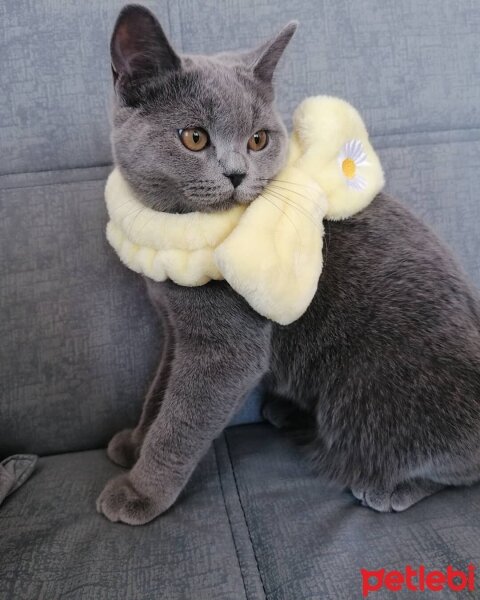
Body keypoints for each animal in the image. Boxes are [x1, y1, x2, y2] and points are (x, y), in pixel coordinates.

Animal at [96, 4, 480, 524]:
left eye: (259, 140)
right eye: (194, 138)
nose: (237, 173)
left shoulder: (226, 348)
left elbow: (181, 421)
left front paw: (141, 491)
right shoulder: (175, 326)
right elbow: (159, 390)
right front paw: (135, 443)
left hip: (367, 398)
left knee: (457, 463)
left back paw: (389, 487)